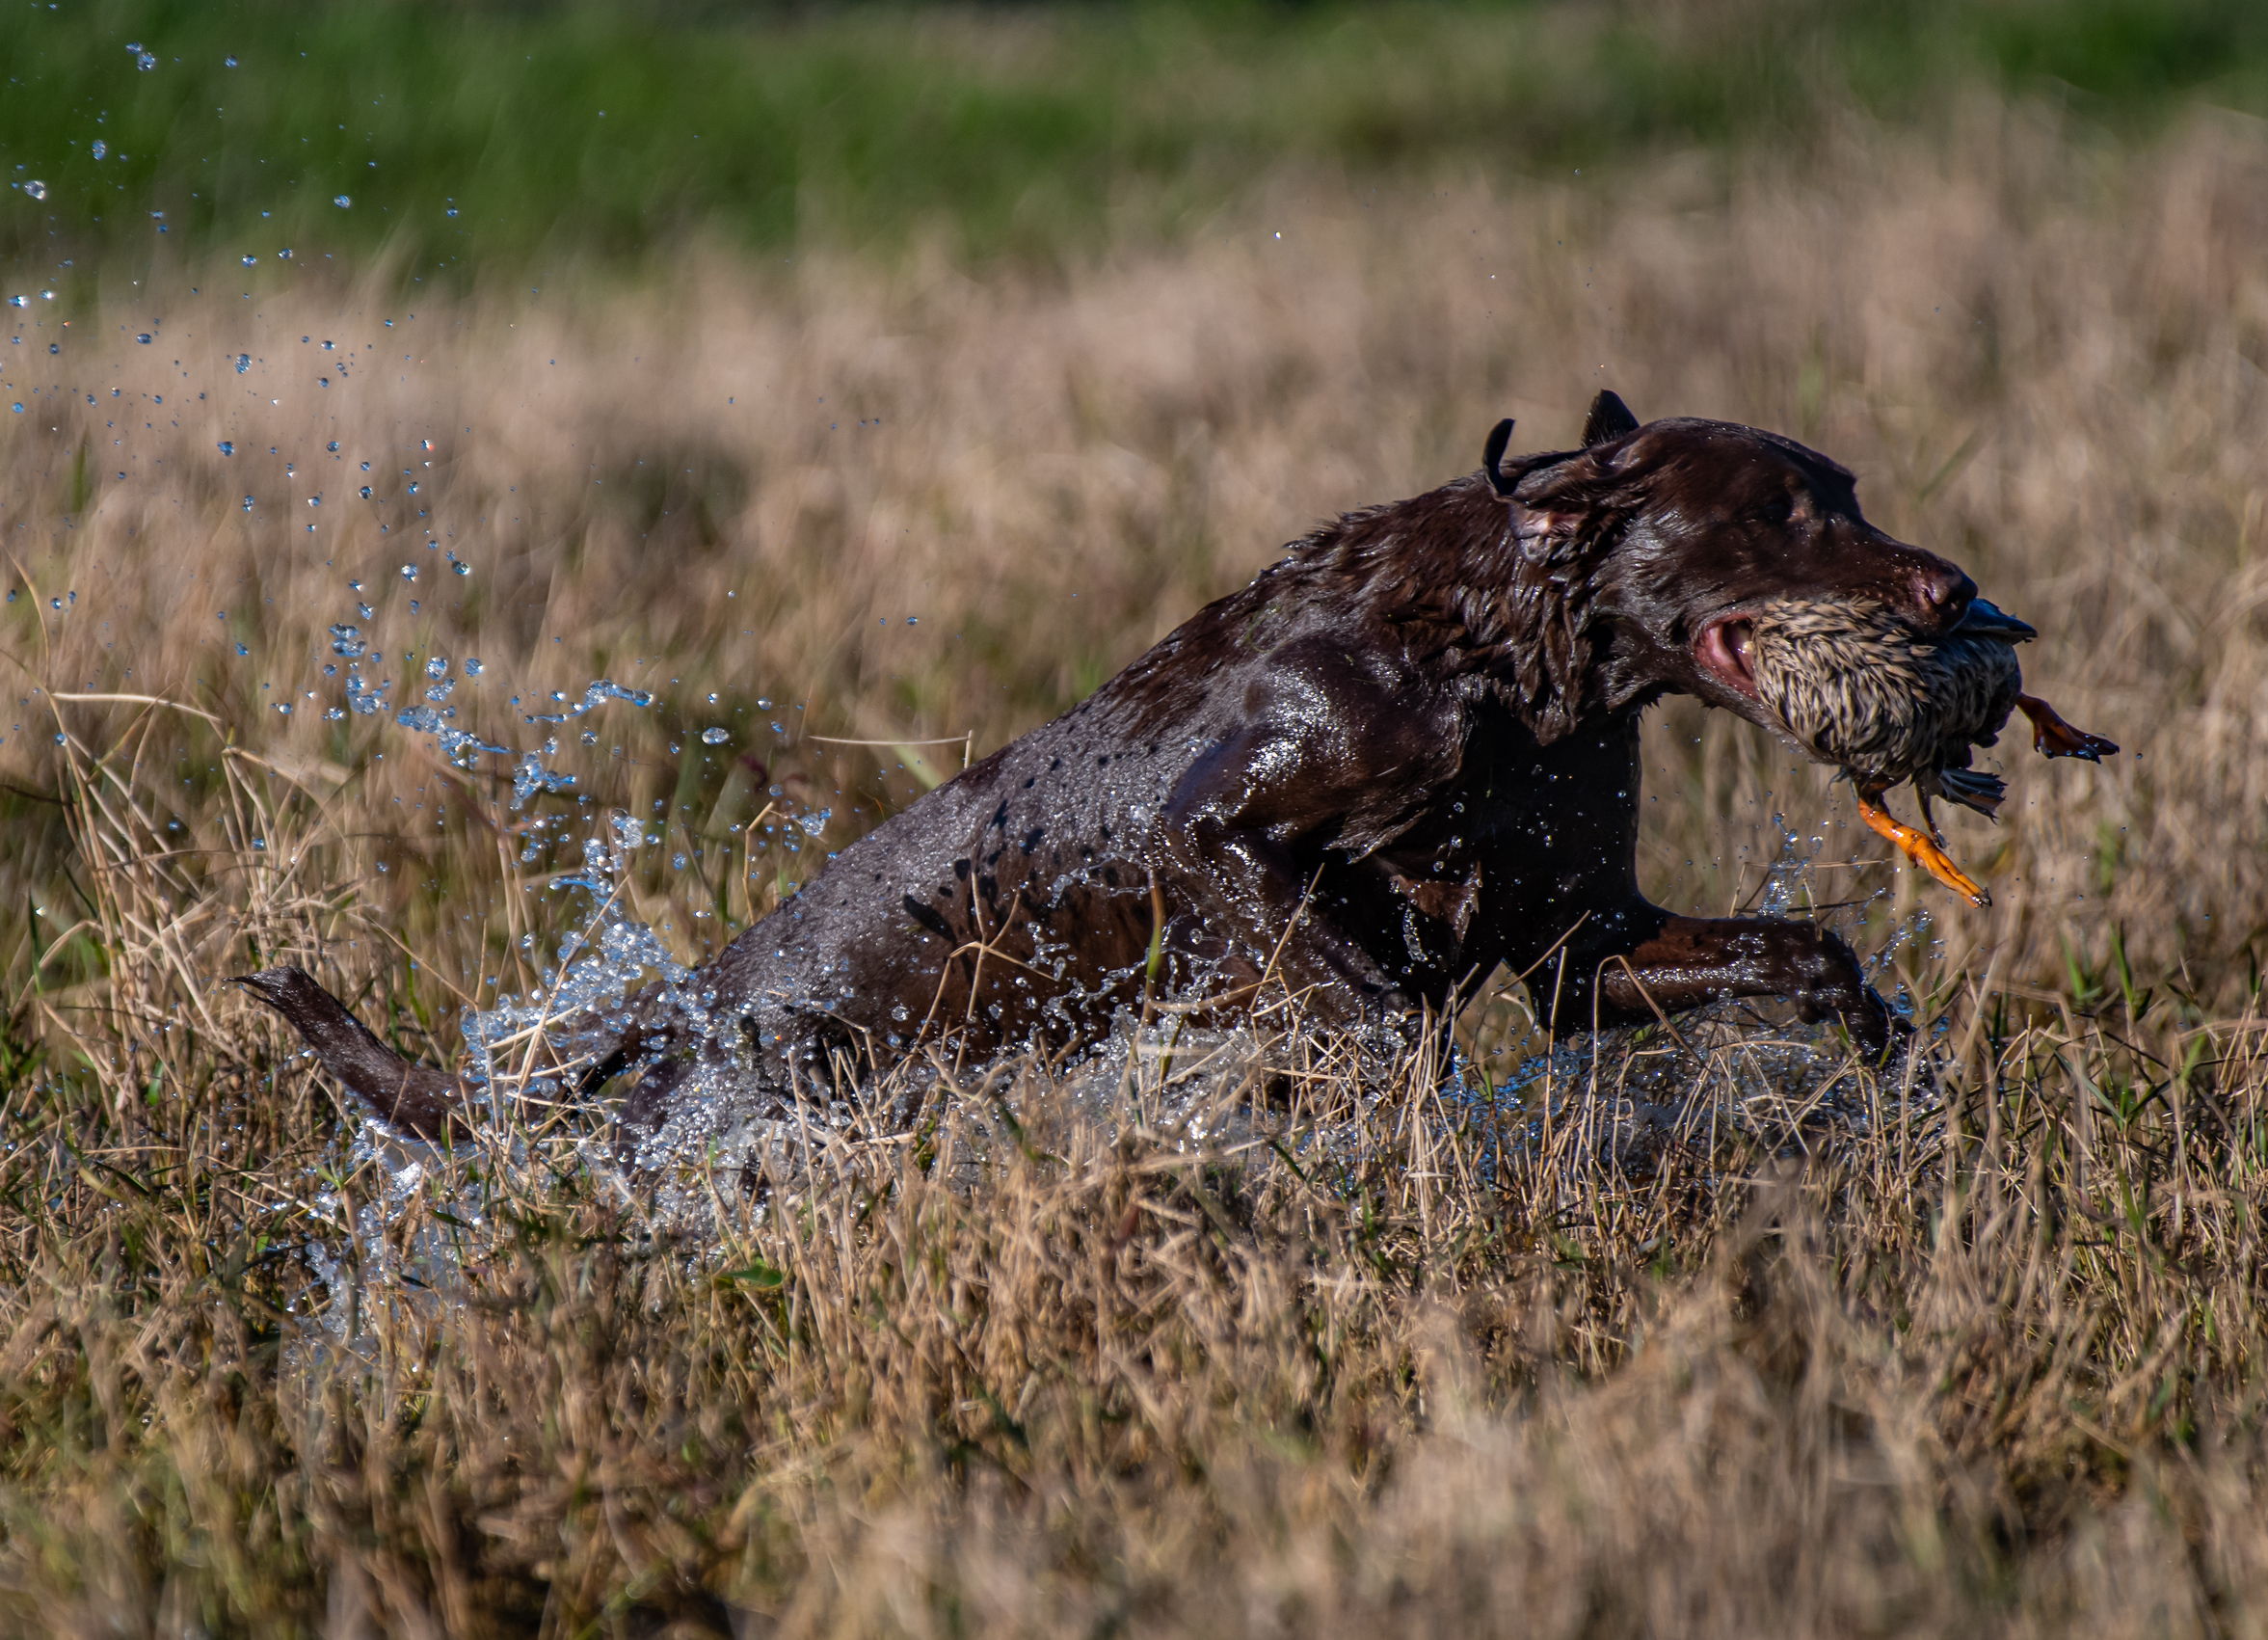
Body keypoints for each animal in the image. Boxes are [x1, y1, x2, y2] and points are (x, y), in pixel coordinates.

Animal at [243, 392, 1987, 1156]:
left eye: (1844, 487)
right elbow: (1368, 1013)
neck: (1511, 669)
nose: (1951, 592)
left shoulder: (1574, 944)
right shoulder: (1217, 837)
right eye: (1783, 510)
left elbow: (1804, 952)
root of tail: (671, 1023)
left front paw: (1889, 1058)